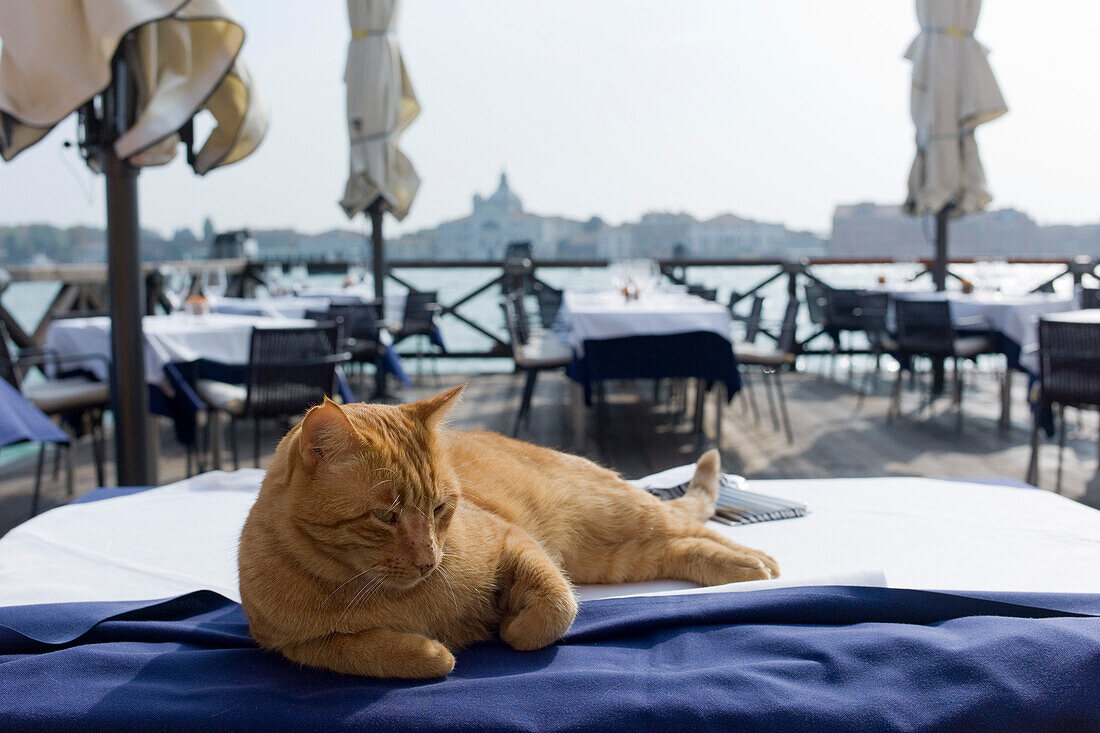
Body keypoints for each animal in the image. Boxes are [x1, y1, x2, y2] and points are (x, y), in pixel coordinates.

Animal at [236, 385, 778, 677]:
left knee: (697, 529)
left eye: (440, 508)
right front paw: (431, 649)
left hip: (618, 516)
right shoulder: (295, 647)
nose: (429, 560)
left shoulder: (516, 542)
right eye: (385, 517)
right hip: (613, 559)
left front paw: (512, 626)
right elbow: (372, 651)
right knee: (676, 547)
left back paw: (755, 562)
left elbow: (555, 609)